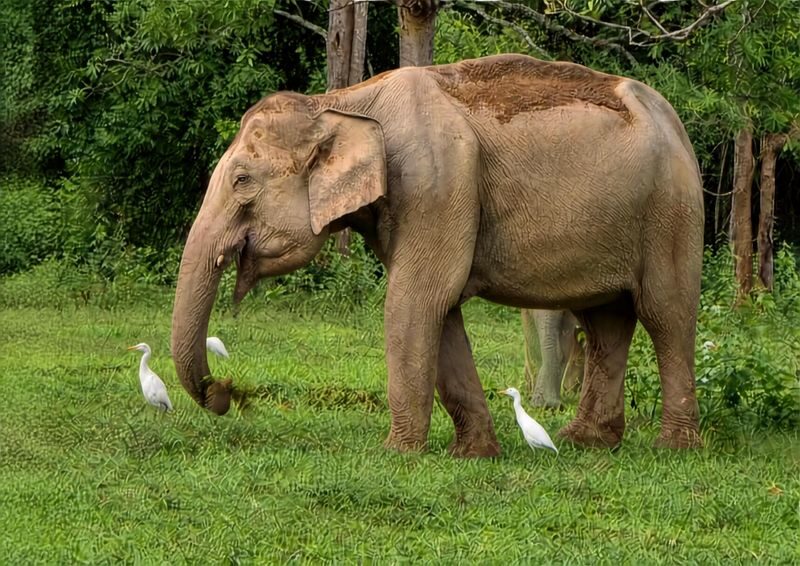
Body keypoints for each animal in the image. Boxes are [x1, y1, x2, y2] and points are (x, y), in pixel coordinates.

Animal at [171, 53, 705, 457]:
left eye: (242, 180)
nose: (225, 391)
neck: (339, 102)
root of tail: (676, 120)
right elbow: (441, 311)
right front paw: (474, 455)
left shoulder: (434, 185)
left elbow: (416, 301)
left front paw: (396, 454)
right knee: (606, 322)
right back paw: (585, 442)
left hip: (672, 210)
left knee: (666, 314)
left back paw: (673, 448)